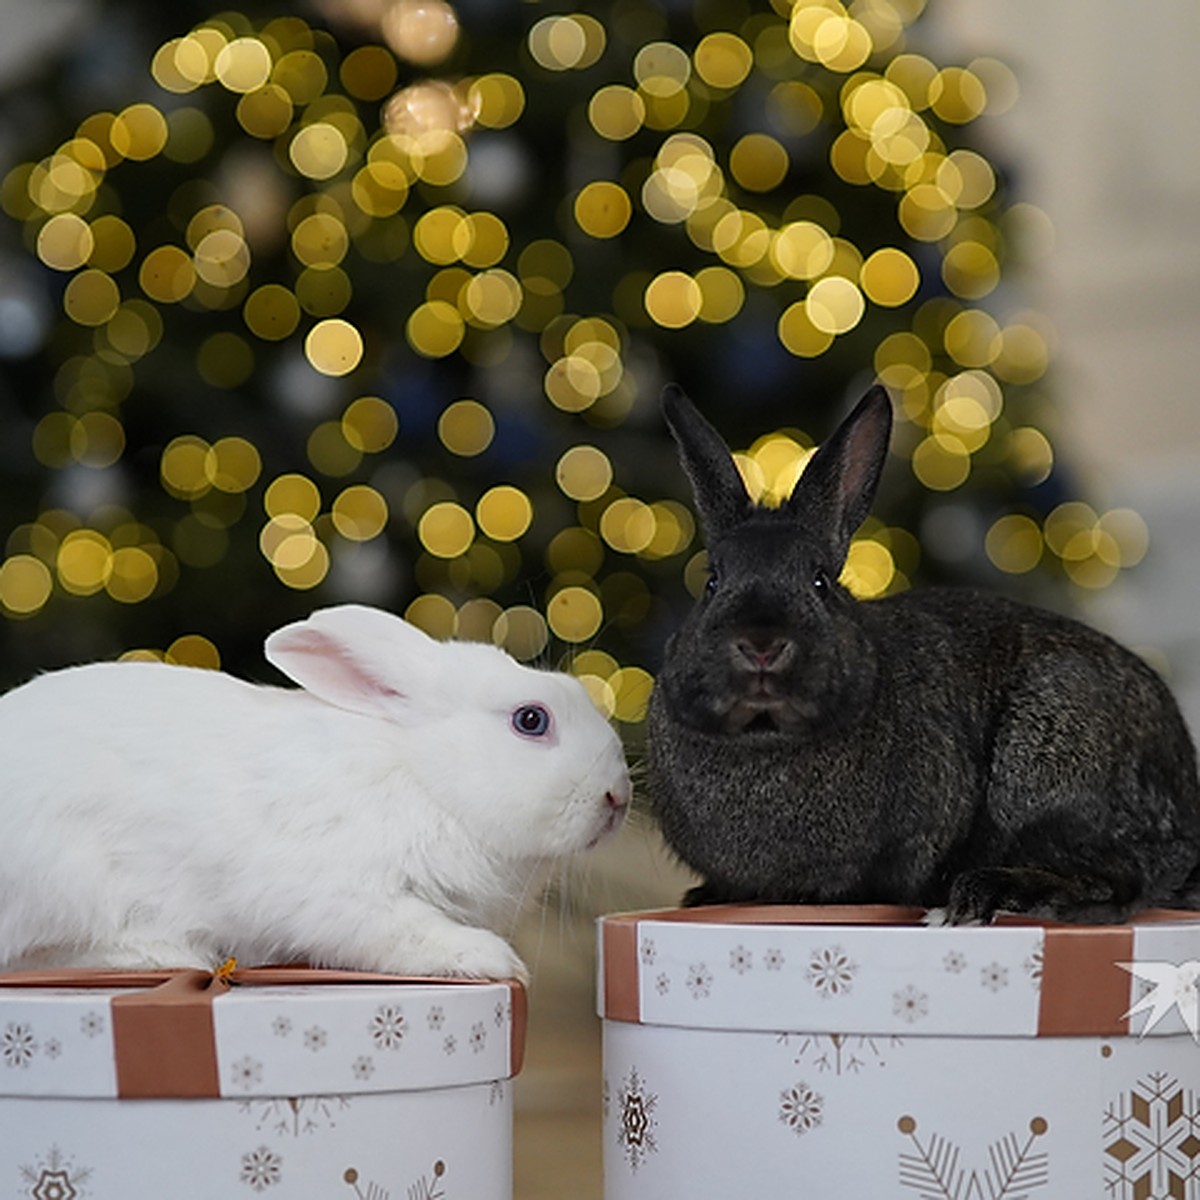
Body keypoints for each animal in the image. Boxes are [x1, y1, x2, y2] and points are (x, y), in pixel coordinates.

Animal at [0, 604, 633, 979]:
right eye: (531, 720)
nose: (618, 797)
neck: (423, 776)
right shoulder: (343, 895)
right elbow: (407, 932)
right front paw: (491, 960)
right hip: (67, 881)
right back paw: (166, 952)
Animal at [648, 384, 1200, 916]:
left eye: (820, 582)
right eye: (712, 583)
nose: (761, 646)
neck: (765, 738)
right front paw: (704, 895)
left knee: (1122, 879)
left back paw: (994, 891)